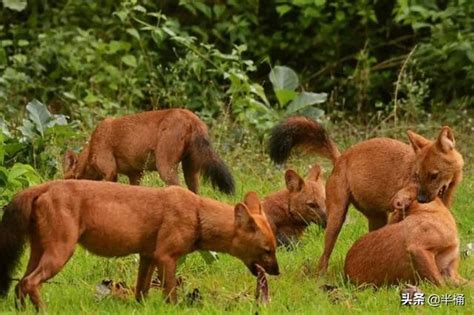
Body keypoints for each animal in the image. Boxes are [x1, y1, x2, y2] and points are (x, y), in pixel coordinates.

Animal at [0, 181, 278, 310]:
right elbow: (170, 294)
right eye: (267, 250)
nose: (277, 272)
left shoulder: (147, 255)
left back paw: (22, 311)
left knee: (20, 283)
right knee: (30, 282)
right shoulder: (166, 256)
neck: (198, 213)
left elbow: (140, 292)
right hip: (61, 251)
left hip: (38, 250)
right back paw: (43, 310)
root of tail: (44, 185)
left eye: (275, 248)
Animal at [63, 110, 235, 196]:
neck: (91, 147)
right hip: (190, 170)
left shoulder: (110, 171)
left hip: (165, 167)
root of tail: (191, 117)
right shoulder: (135, 174)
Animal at [268, 117, 464, 276]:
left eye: (433, 175)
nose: (422, 199)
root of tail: (341, 157)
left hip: (377, 219)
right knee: (324, 256)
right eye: (417, 175)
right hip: (336, 218)